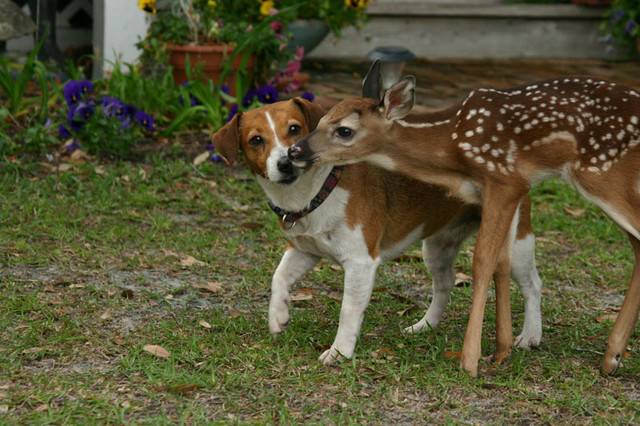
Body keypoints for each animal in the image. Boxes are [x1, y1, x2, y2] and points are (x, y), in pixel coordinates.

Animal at [212, 98, 544, 364]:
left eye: (294, 128)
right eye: (256, 140)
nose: (286, 162)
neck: (318, 189)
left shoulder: (360, 263)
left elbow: (348, 311)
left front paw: (340, 352)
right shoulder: (305, 250)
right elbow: (278, 277)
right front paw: (277, 316)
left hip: (516, 242)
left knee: (533, 285)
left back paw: (530, 335)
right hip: (437, 246)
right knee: (445, 283)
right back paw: (426, 325)